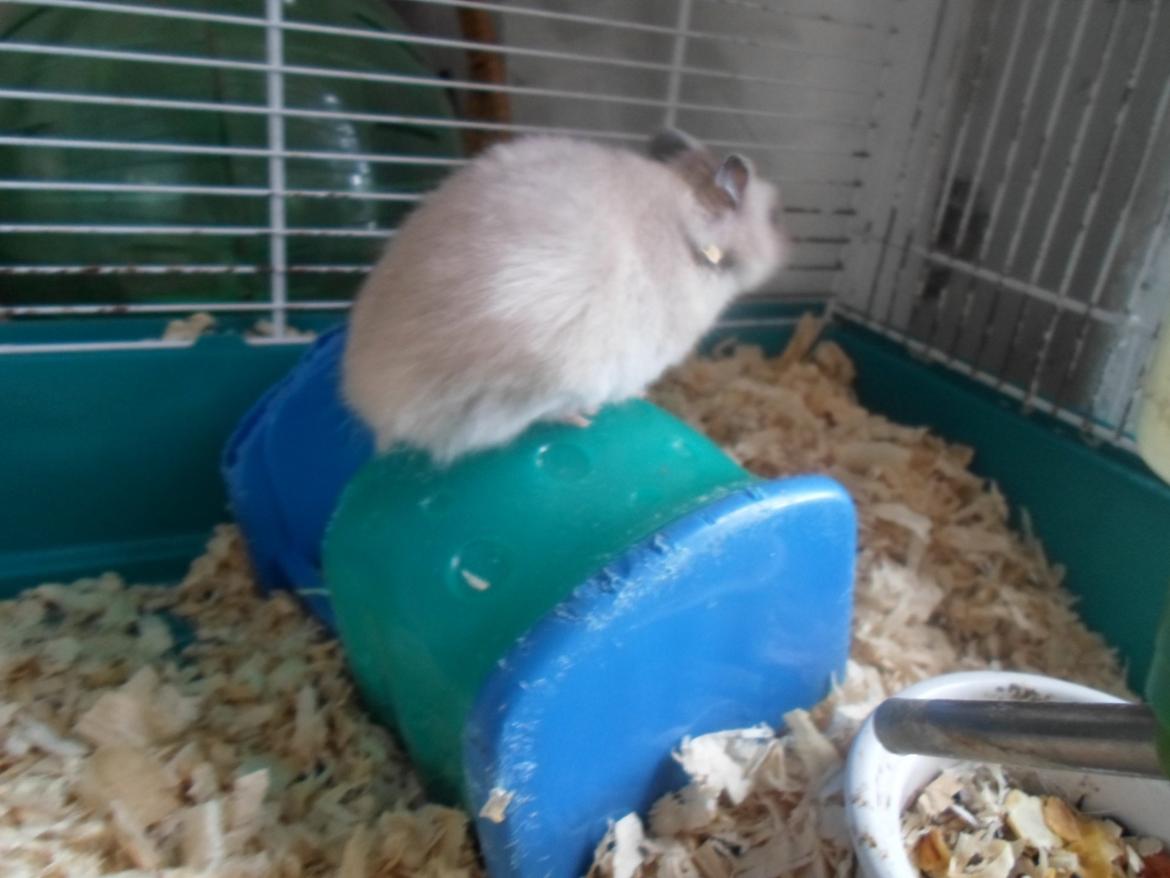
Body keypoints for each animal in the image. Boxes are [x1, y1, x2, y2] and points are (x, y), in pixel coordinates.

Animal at [342, 128, 789, 464]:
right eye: (773, 218)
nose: (788, 246)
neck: (699, 241)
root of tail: (374, 404)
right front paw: (641, 394)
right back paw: (583, 417)